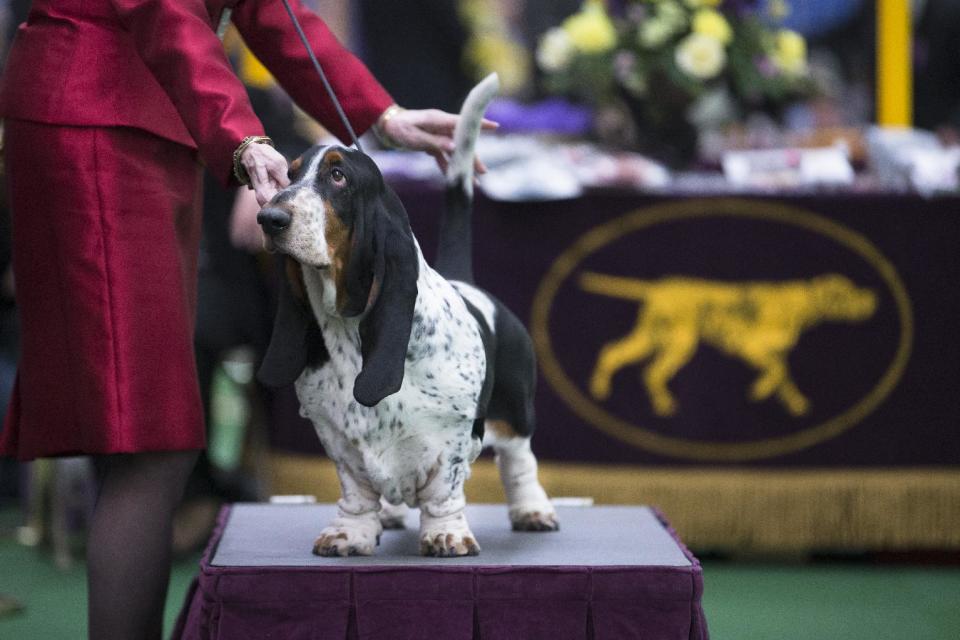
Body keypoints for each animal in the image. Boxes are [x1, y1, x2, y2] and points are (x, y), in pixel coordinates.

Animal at [256, 74, 556, 556]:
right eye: (289, 174)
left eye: (338, 176)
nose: (268, 218)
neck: (346, 328)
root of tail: (465, 279)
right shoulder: (337, 439)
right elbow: (356, 491)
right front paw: (350, 533)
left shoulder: (452, 437)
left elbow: (444, 491)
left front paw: (447, 535)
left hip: (516, 409)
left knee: (519, 458)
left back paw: (533, 510)